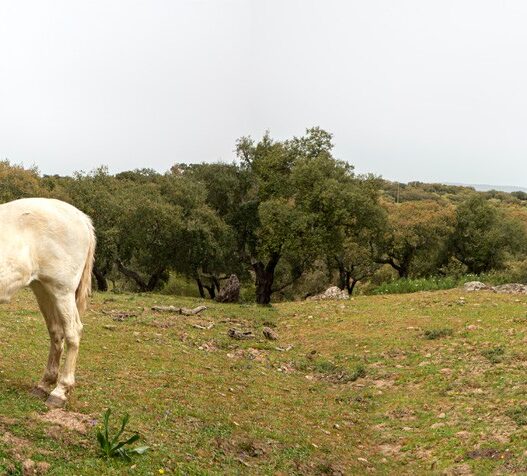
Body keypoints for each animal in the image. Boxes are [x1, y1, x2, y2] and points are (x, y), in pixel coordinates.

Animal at [0, 197, 96, 410]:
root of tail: (81, 217)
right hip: (43, 289)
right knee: (56, 332)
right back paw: (44, 384)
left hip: (62, 291)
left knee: (72, 332)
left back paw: (59, 392)